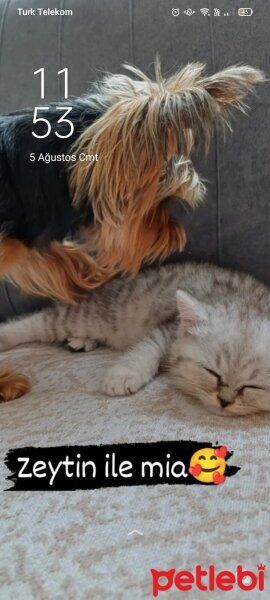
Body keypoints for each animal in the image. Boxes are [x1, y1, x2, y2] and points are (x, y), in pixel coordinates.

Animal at [0, 264, 270, 418]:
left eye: (252, 387)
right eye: (211, 372)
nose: (224, 401)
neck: (247, 302)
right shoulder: (166, 328)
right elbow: (145, 350)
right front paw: (123, 376)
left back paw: (81, 341)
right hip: (101, 312)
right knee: (39, 321)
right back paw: (7, 336)